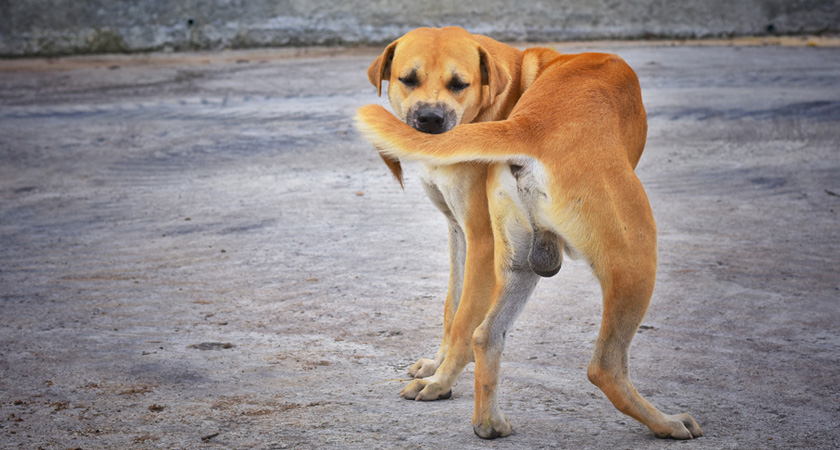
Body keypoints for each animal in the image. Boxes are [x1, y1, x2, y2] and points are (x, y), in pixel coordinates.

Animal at [354, 27, 704, 440]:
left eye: (459, 84)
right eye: (408, 79)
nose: (429, 119)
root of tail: (531, 125)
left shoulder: (469, 236)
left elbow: (454, 313)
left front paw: (438, 373)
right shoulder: (470, 238)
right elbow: (456, 314)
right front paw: (440, 377)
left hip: (522, 265)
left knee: (484, 335)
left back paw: (487, 423)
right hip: (636, 259)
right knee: (604, 366)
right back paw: (665, 423)